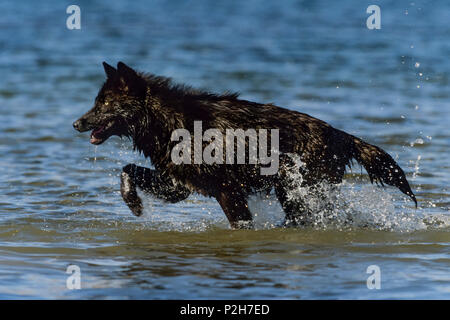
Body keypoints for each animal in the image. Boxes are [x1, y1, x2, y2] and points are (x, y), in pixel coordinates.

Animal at [73, 62, 414, 228]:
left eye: (104, 104)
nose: (76, 123)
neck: (166, 121)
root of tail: (340, 133)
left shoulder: (228, 191)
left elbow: (241, 224)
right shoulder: (178, 186)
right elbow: (126, 170)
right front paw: (134, 203)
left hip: (295, 189)